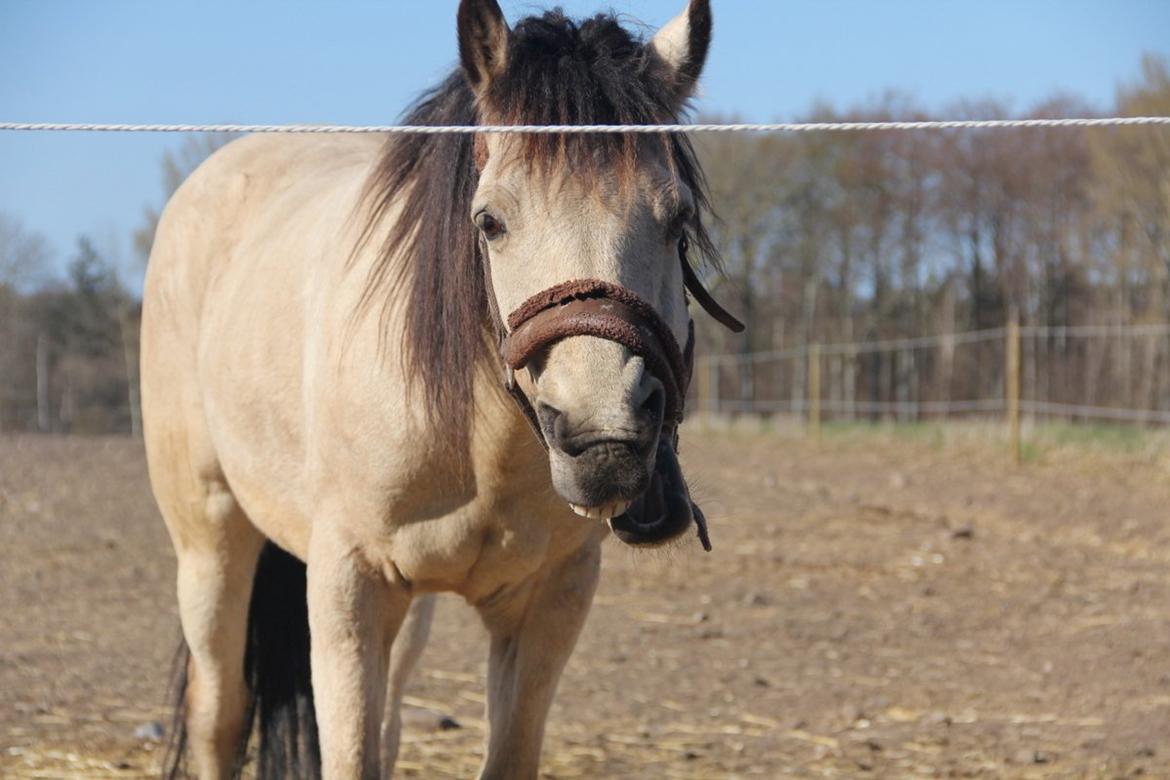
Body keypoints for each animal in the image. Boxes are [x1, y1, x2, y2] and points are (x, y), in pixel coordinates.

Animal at [139, 3, 739, 776]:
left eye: (677, 221)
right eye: (490, 221)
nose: (602, 440)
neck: (479, 442)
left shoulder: (550, 601)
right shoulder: (348, 586)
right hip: (210, 542)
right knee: (216, 712)